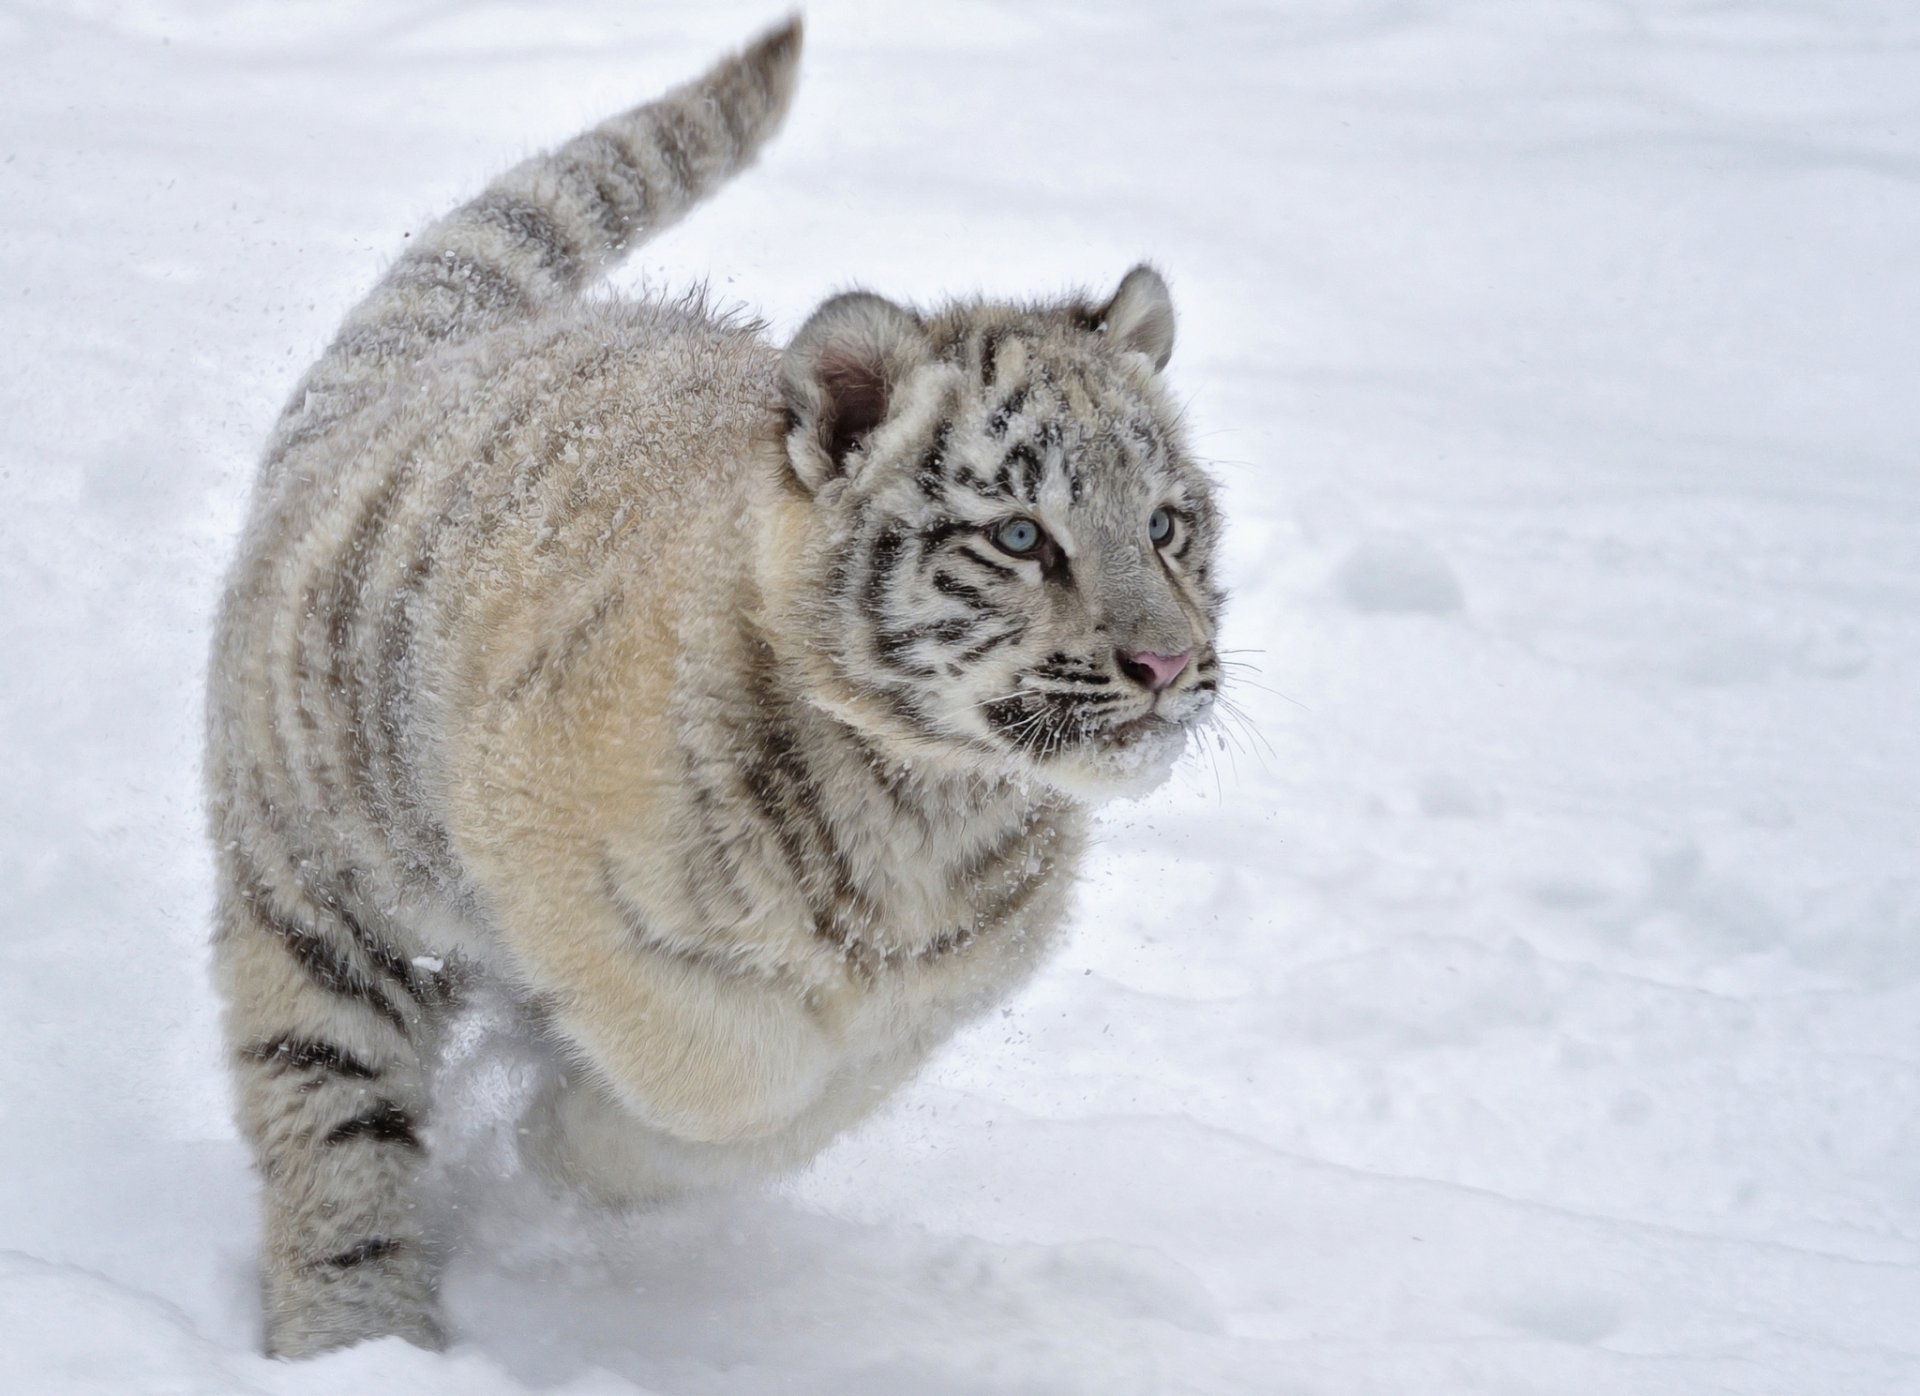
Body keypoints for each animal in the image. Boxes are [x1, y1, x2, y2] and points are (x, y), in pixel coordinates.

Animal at [205, 17, 1225, 1358]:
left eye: (1164, 525)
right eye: (1019, 537)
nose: (1166, 663)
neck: (929, 802)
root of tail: (431, 366)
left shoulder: (923, 1004)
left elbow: (786, 1108)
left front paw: (579, 1144)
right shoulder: (549, 855)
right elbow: (721, 1067)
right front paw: (560, 1138)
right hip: (319, 897)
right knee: (334, 1132)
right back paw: (359, 1341)